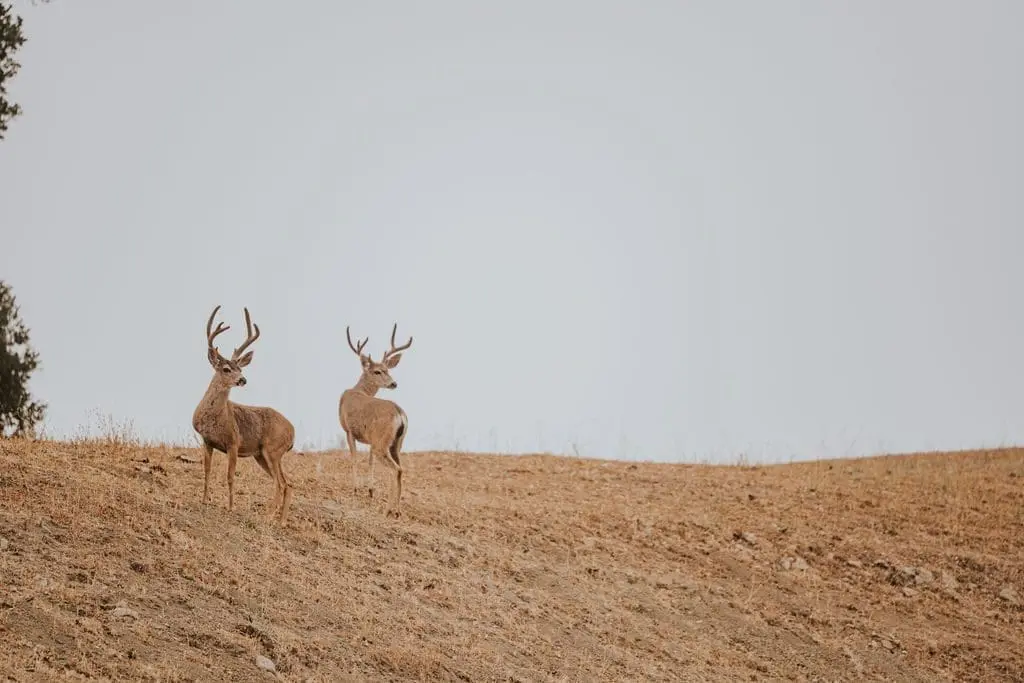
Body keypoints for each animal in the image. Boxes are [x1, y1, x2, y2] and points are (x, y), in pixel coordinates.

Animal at [191, 305, 296, 524]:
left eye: (240, 368)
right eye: (226, 368)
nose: (242, 379)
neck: (216, 417)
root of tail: (293, 433)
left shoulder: (233, 442)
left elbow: (230, 475)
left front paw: (230, 507)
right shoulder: (206, 440)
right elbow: (207, 470)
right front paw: (204, 500)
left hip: (272, 450)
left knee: (280, 482)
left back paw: (268, 515)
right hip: (263, 455)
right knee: (288, 482)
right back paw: (280, 521)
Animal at [339, 323, 413, 518]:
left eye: (388, 370)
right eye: (378, 371)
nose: (394, 383)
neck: (358, 390)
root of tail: (400, 413)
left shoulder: (348, 430)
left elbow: (354, 457)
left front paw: (356, 489)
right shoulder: (370, 438)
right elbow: (370, 461)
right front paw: (370, 490)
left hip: (383, 442)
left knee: (396, 469)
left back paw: (388, 509)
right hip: (396, 443)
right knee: (400, 468)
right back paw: (397, 510)